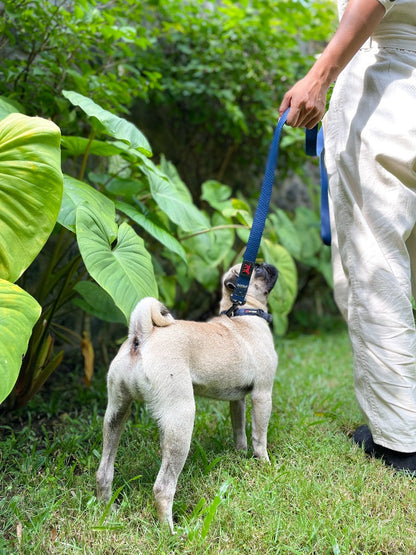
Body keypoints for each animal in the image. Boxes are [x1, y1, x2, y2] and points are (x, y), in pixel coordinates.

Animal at [96, 264, 278, 536]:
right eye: (257, 268)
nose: (269, 265)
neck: (242, 313)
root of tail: (142, 336)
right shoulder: (262, 395)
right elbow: (259, 437)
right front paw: (264, 465)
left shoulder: (237, 400)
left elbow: (239, 430)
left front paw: (239, 455)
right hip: (182, 418)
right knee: (163, 488)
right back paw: (170, 532)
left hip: (117, 413)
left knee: (104, 471)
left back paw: (107, 513)